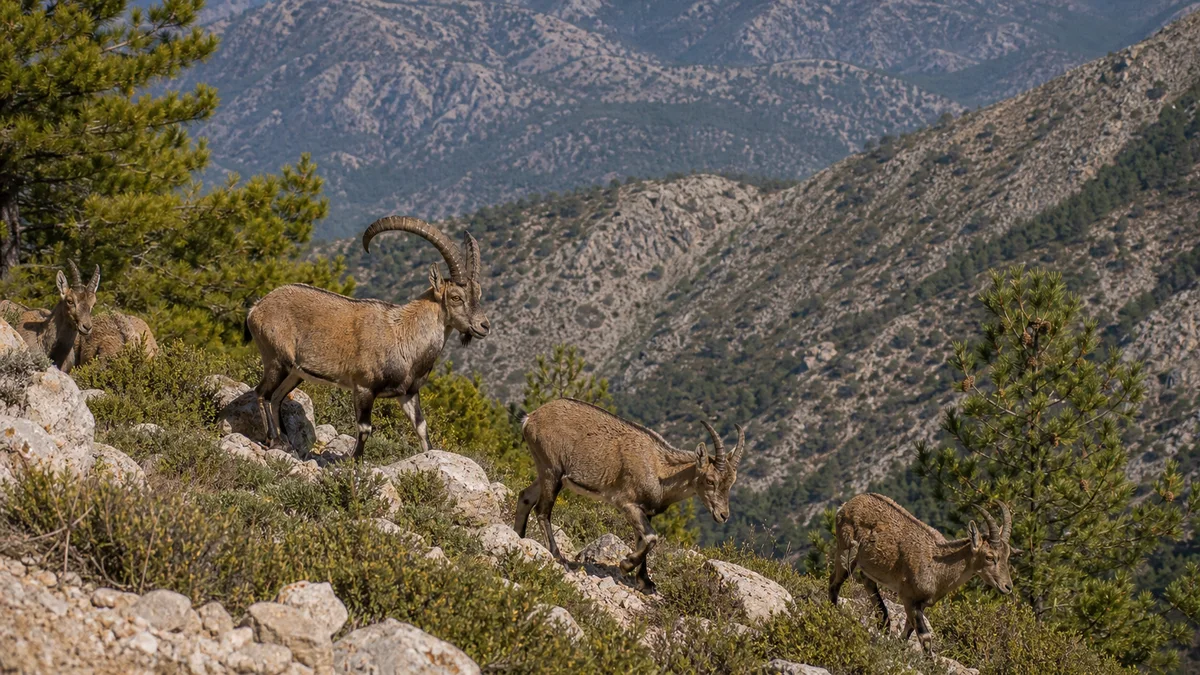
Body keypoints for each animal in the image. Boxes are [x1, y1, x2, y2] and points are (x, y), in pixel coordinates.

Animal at [246, 216, 489, 460]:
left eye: (478, 294)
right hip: (277, 359)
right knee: (262, 393)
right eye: (456, 297)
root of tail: (256, 308)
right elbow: (364, 428)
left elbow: (421, 426)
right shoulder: (363, 387)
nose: (484, 326)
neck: (403, 336)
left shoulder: (408, 393)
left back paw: (286, 442)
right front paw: (354, 461)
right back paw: (276, 440)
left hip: (295, 372)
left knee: (277, 397)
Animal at [515, 398, 746, 593]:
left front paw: (645, 582)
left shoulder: (646, 511)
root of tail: (530, 418)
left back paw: (518, 536)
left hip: (545, 470)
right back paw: (558, 557)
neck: (660, 470)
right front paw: (625, 565)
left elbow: (642, 539)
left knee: (525, 496)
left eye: (732, 482)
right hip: (552, 470)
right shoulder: (627, 504)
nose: (723, 515)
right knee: (542, 510)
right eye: (710, 480)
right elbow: (652, 538)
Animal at [829, 493, 1016, 652]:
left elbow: (908, 631)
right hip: (846, 551)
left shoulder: (921, 603)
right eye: (990, 557)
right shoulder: (908, 598)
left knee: (868, 584)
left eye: (1008, 555)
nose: (1007, 587)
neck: (938, 566)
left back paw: (884, 625)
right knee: (834, 583)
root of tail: (845, 505)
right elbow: (925, 636)